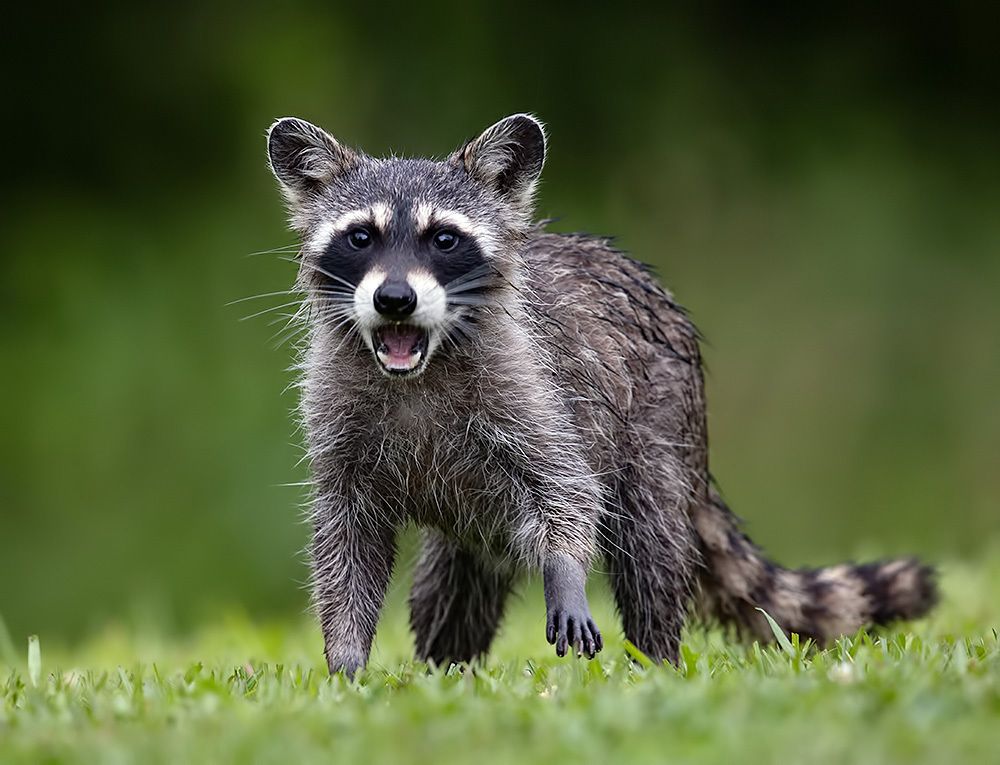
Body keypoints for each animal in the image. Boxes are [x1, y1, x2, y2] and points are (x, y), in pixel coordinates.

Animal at [265, 114, 937, 676]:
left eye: (444, 239)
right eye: (360, 237)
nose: (395, 300)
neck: (418, 369)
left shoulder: (534, 388)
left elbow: (568, 490)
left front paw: (565, 573)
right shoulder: (338, 421)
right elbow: (345, 545)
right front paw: (346, 657)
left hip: (659, 427)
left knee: (650, 548)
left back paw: (656, 658)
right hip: (472, 528)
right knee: (452, 587)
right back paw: (445, 667)